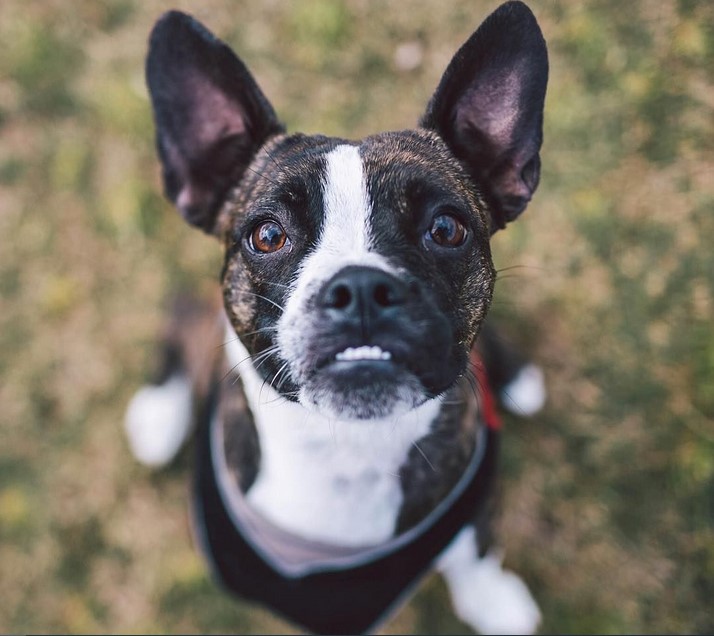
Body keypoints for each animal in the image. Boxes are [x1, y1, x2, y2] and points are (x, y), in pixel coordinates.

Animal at [124, 2, 544, 632]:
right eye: (267, 235)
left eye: (447, 228)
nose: (362, 286)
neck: (349, 446)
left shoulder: (471, 518)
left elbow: (476, 553)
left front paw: (493, 601)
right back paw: (160, 414)